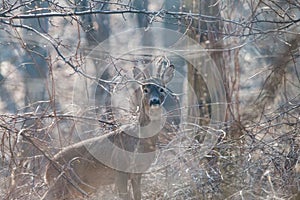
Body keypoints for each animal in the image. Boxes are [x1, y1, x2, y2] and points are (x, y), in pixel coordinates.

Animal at [42, 65, 178, 199]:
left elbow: (138, 195)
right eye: (145, 89)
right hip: (61, 184)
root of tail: (47, 171)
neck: (141, 140)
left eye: (162, 88)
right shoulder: (120, 170)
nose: (154, 101)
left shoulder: (137, 173)